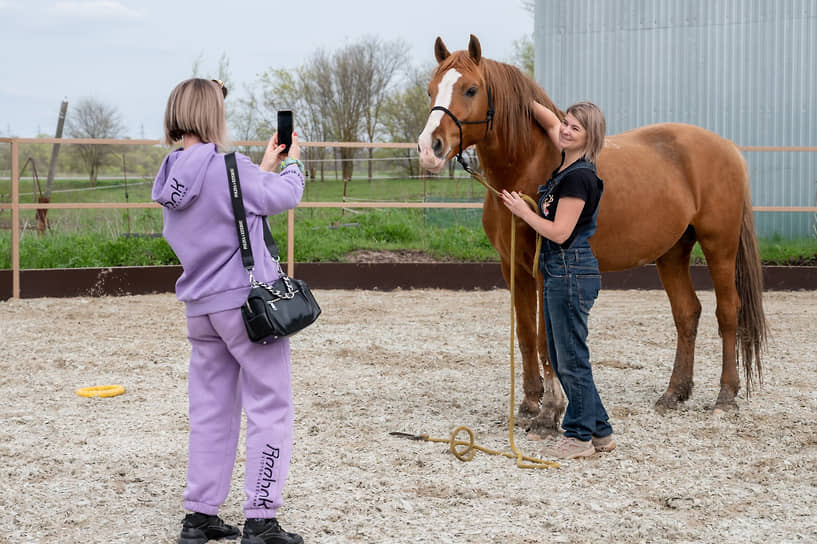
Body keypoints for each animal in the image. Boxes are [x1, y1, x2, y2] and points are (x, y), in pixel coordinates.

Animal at [418, 35, 768, 434]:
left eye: (471, 89)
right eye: (431, 90)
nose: (429, 148)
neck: (529, 165)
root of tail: (729, 149)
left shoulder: (546, 270)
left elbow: (545, 339)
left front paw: (551, 411)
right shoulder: (514, 268)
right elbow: (525, 335)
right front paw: (529, 403)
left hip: (719, 246)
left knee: (728, 312)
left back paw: (725, 397)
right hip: (672, 253)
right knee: (687, 313)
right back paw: (673, 394)